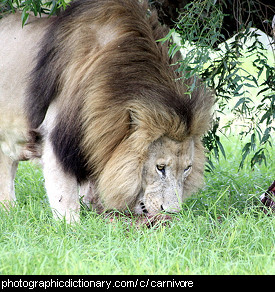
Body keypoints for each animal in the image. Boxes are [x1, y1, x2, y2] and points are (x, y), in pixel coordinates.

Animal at [0, 0, 215, 224]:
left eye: (187, 168)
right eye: (160, 168)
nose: (172, 212)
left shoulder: (97, 139)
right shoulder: (56, 137)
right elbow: (65, 195)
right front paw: (71, 226)